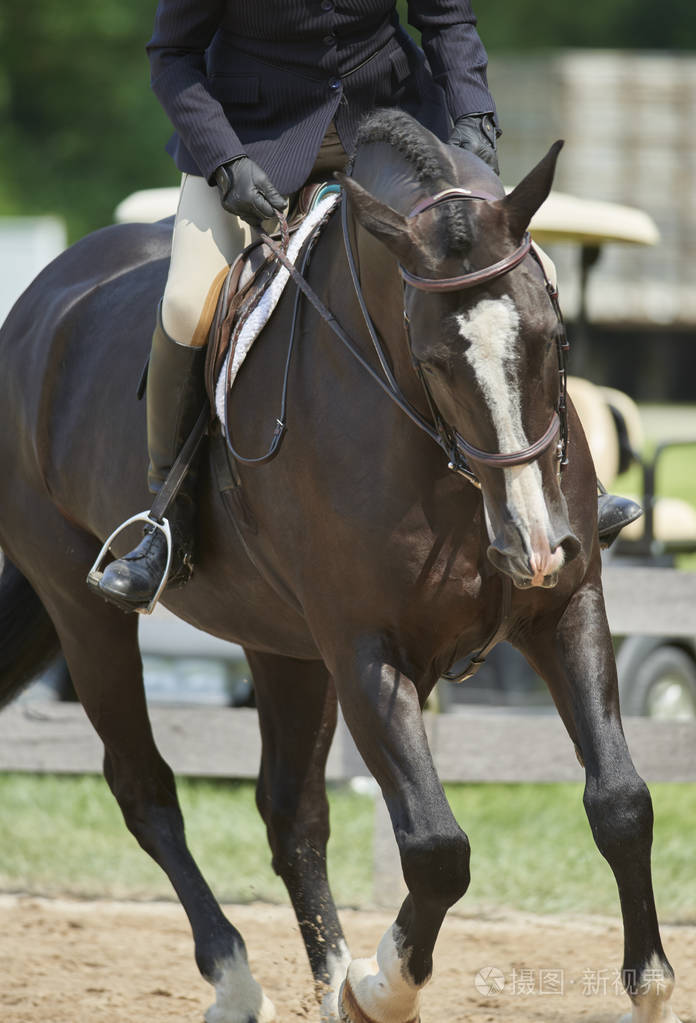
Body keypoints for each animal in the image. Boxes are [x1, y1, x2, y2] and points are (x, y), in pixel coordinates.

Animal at [0, 108, 682, 1023]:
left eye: (557, 338)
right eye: (431, 360)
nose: (531, 545)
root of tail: (43, 300)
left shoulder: (564, 608)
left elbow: (622, 801)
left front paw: (651, 989)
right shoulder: (365, 649)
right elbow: (435, 846)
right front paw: (380, 988)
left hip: (279, 643)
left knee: (291, 811)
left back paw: (324, 982)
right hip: (86, 611)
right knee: (146, 788)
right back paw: (237, 976)